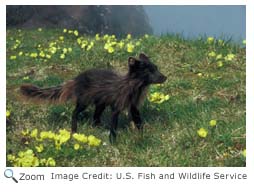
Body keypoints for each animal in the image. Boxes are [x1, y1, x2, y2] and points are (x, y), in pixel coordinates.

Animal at [19, 53, 167, 143]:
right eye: (149, 71)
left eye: (156, 68)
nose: (165, 77)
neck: (134, 88)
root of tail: (76, 79)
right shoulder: (116, 107)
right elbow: (114, 125)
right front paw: (113, 141)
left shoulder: (133, 106)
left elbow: (138, 121)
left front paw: (142, 135)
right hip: (84, 101)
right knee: (75, 112)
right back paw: (74, 130)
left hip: (101, 103)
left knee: (95, 118)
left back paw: (100, 127)